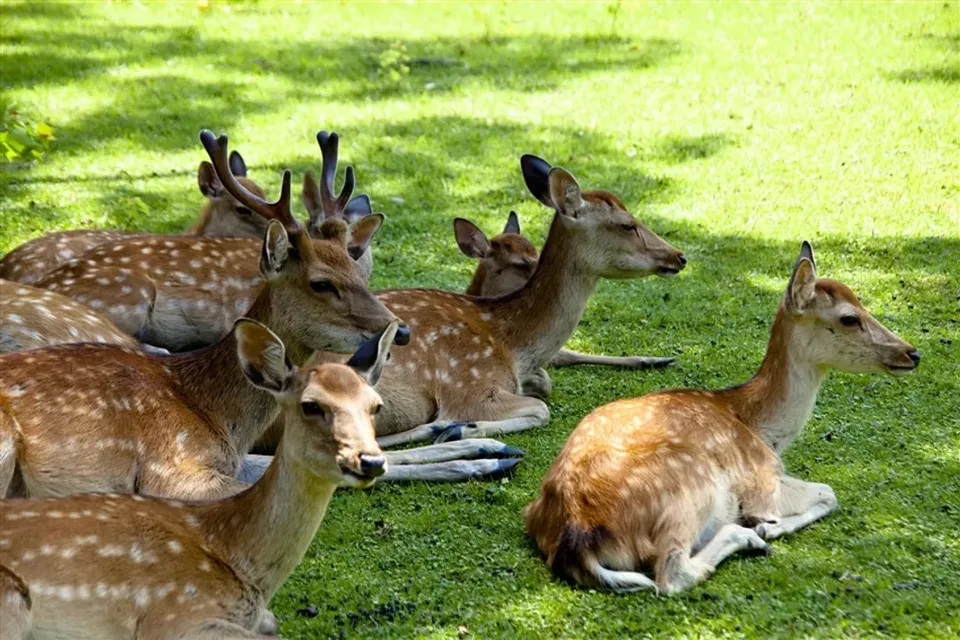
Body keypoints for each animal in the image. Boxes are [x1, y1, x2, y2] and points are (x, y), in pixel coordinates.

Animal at [524, 242, 921, 594]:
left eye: (862, 303)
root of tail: (576, 536)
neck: (762, 428)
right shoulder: (761, 481)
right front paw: (768, 527)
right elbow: (828, 491)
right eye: (849, 318)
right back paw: (747, 536)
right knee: (671, 575)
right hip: (691, 489)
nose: (912, 353)